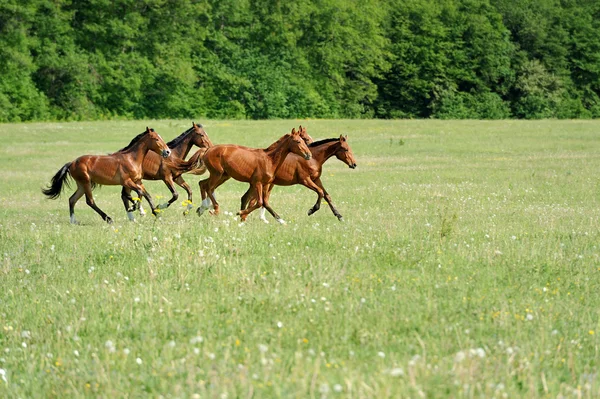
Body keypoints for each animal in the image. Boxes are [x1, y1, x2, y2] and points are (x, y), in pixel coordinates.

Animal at [40, 126, 171, 223]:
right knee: (90, 201)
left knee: (72, 199)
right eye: (156, 139)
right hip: (86, 182)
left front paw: (156, 213)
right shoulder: (127, 182)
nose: (167, 152)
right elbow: (139, 193)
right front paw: (135, 208)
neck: (131, 159)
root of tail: (72, 163)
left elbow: (146, 195)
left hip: (81, 185)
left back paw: (73, 221)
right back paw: (108, 219)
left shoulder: (137, 181)